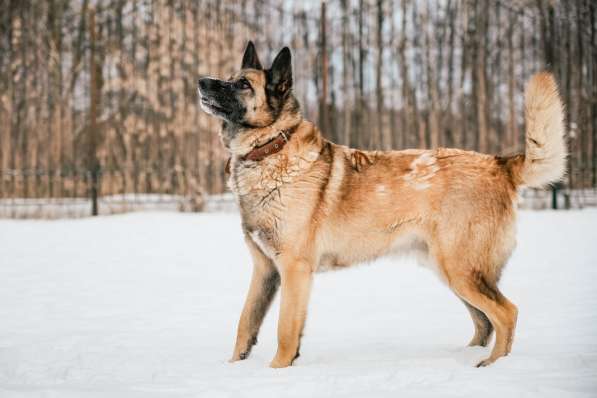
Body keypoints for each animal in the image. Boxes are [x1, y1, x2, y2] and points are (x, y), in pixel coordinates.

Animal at [198, 42, 564, 368]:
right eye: (230, 77)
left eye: (243, 84)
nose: (201, 81)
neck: (271, 148)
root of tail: (498, 163)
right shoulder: (264, 270)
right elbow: (245, 324)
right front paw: (233, 368)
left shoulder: (294, 269)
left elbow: (285, 332)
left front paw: (276, 372)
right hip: (453, 272)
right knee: (484, 322)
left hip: (460, 271)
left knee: (506, 313)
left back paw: (492, 366)